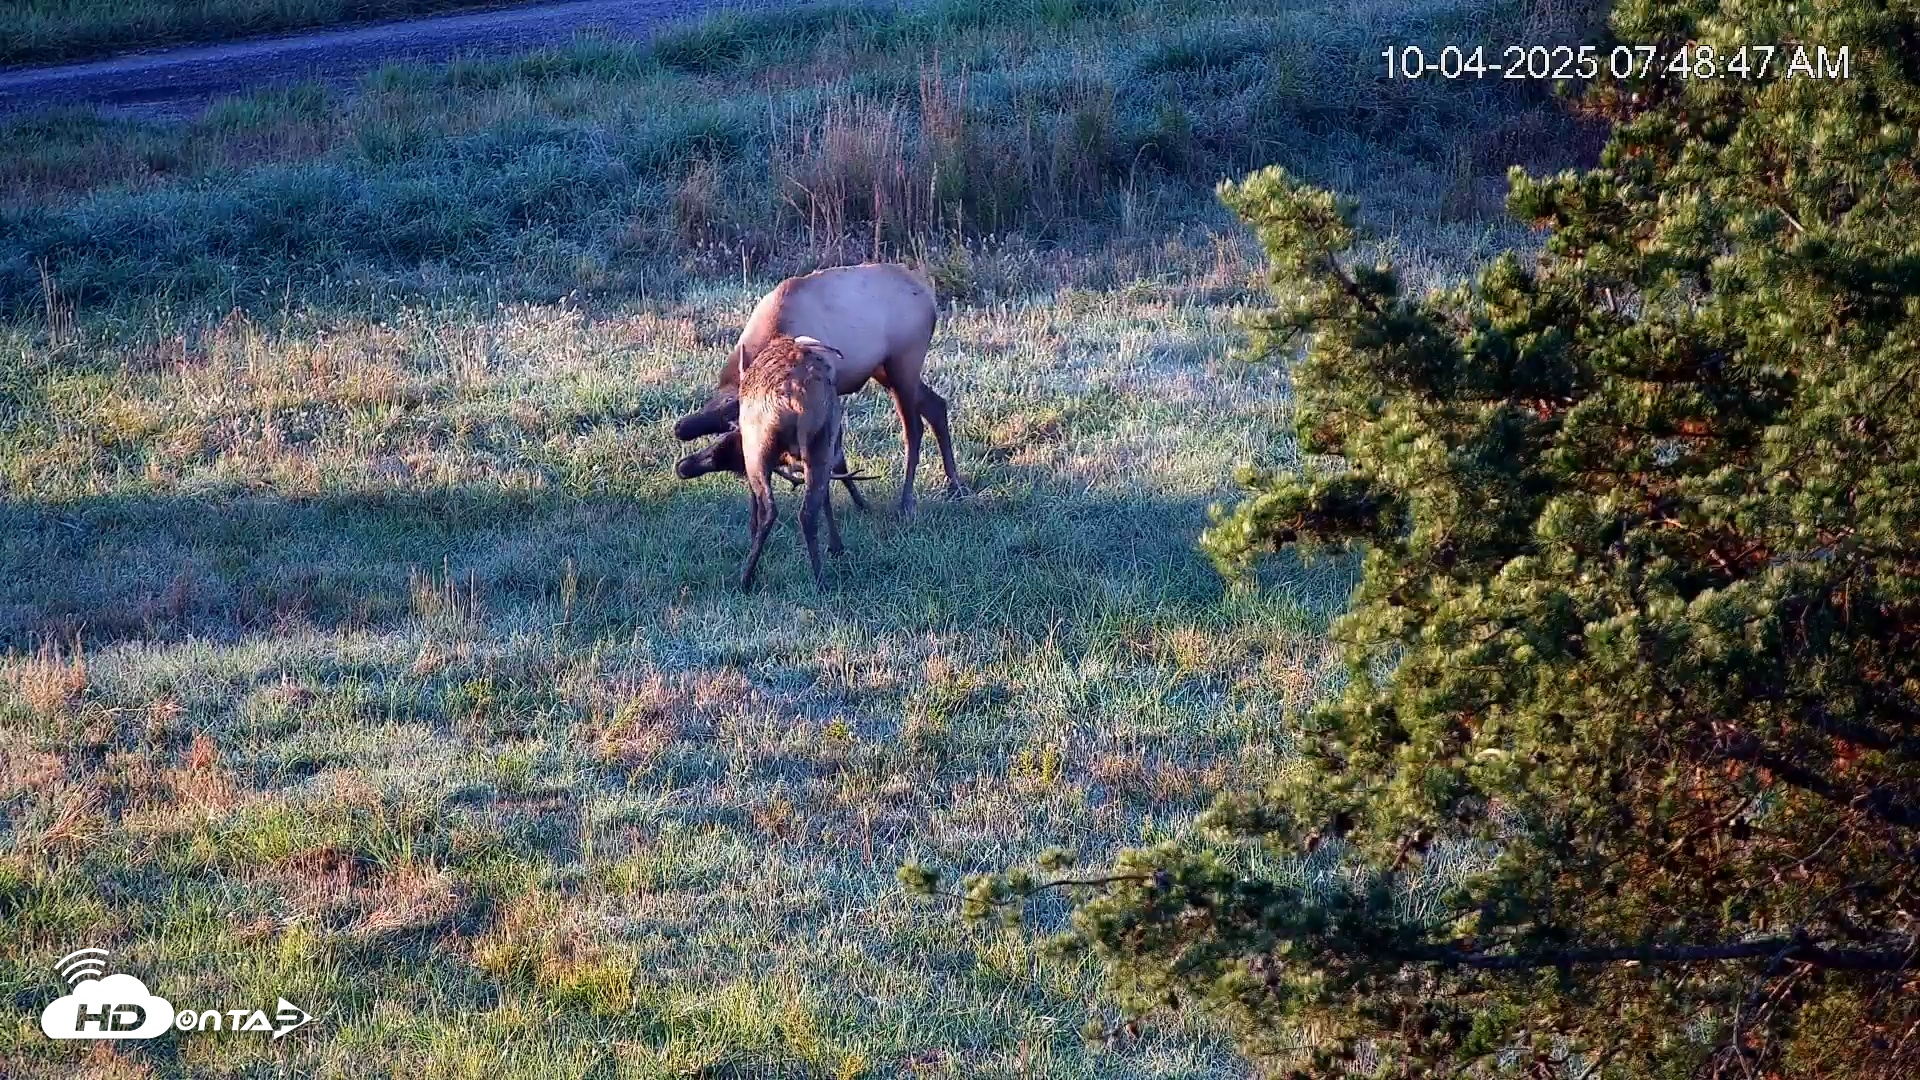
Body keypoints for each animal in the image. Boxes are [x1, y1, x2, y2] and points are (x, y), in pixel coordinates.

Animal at [672, 262, 966, 517]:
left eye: (737, 460)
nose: (683, 468)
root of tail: (930, 300)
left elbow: (835, 459)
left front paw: (858, 503)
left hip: (903, 364)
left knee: (914, 429)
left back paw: (907, 502)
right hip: (885, 371)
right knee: (936, 405)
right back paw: (955, 485)